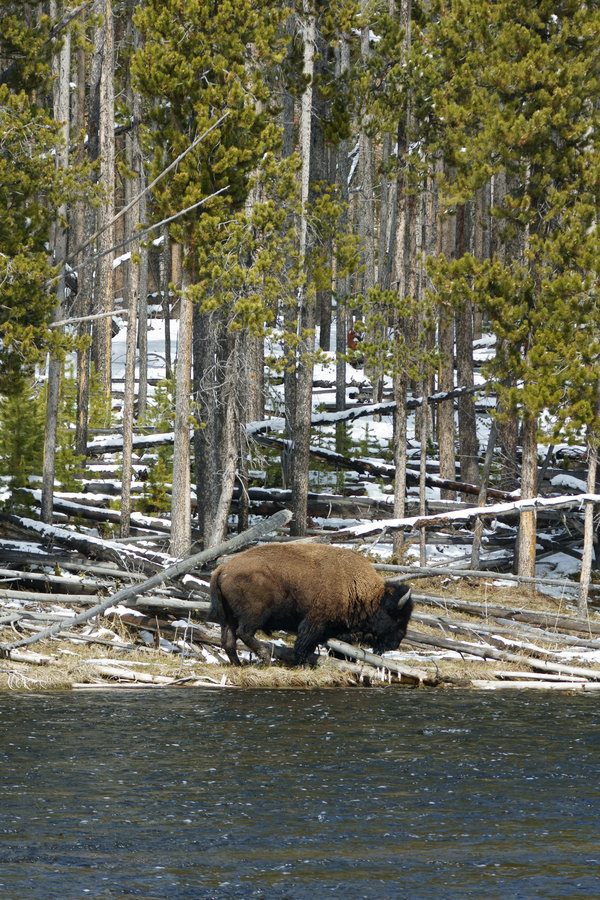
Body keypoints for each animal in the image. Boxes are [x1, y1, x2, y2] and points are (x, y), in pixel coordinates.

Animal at [207, 536, 412, 664]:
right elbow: (303, 646)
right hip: (253, 615)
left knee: (228, 640)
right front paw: (303, 664)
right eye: (398, 617)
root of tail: (223, 568)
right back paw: (265, 657)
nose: (395, 644)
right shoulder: (314, 623)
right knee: (244, 633)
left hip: (227, 617)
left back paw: (239, 664)